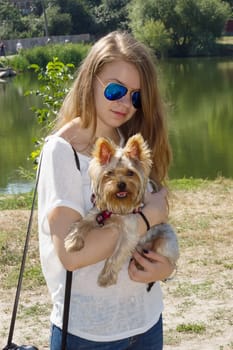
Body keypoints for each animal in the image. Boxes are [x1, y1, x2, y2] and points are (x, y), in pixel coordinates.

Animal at [64, 133, 179, 288]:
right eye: (109, 173)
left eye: (130, 173)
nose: (121, 184)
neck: (116, 208)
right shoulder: (95, 214)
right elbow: (81, 224)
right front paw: (72, 242)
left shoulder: (129, 233)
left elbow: (116, 255)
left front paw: (106, 278)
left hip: (165, 243)